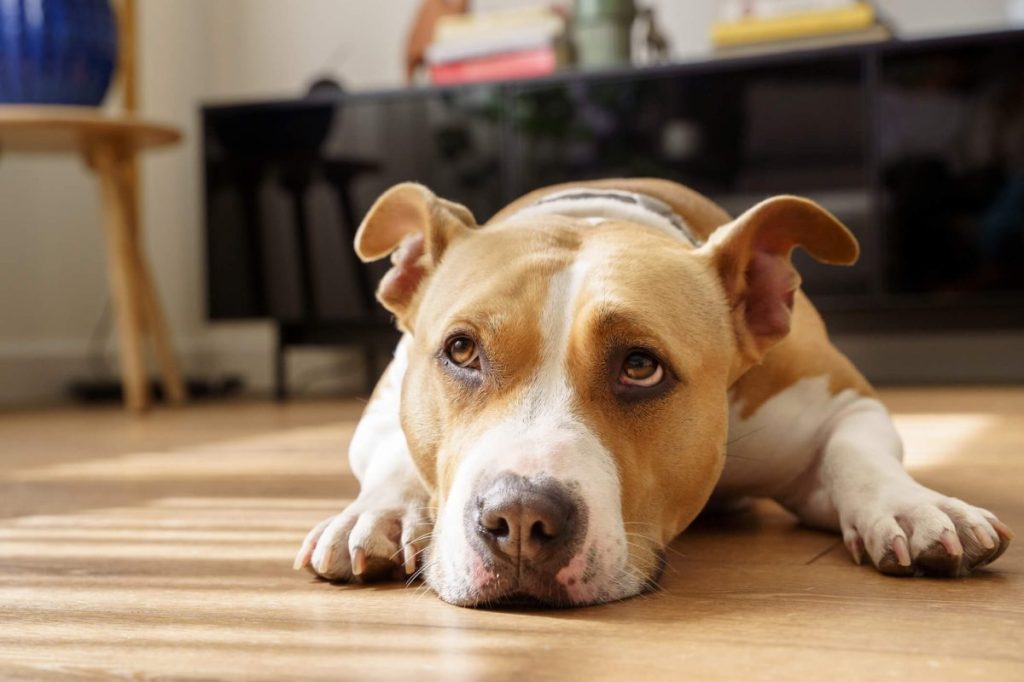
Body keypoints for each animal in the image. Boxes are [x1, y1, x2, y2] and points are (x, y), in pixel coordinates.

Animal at [292, 178, 1011, 602]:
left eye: (641, 367)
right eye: (462, 351)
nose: (520, 519)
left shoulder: (839, 400)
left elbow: (856, 448)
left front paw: (915, 506)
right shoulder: (390, 395)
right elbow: (393, 454)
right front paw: (380, 514)